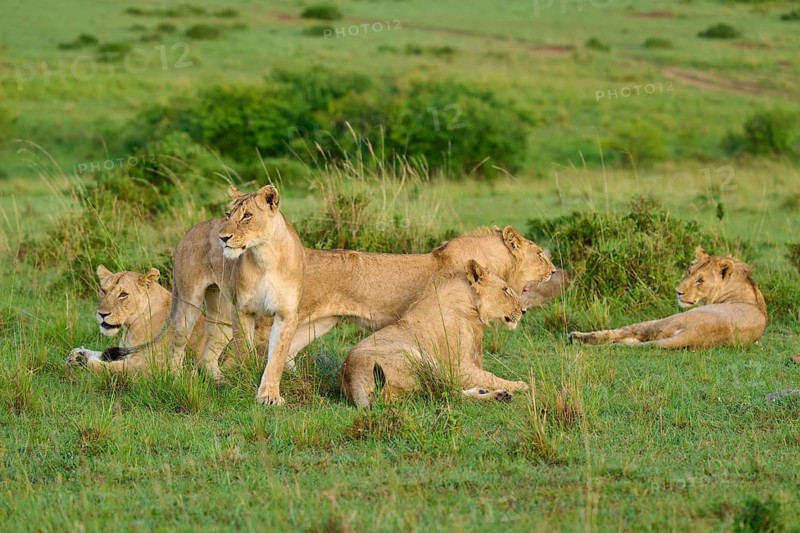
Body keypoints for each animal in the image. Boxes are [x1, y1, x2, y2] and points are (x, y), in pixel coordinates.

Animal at [340, 259, 529, 407]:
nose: (524, 310)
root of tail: (352, 377)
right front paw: (521, 384)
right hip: (420, 359)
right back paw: (500, 395)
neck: (471, 308)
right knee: (448, 394)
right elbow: (490, 377)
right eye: (505, 290)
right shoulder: (459, 368)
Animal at [569, 247, 767, 349]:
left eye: (700, 281)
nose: (678, 292)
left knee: (626, 332)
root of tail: (693, 335)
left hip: (666, 320)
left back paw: (576, 337)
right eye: (689, 271)